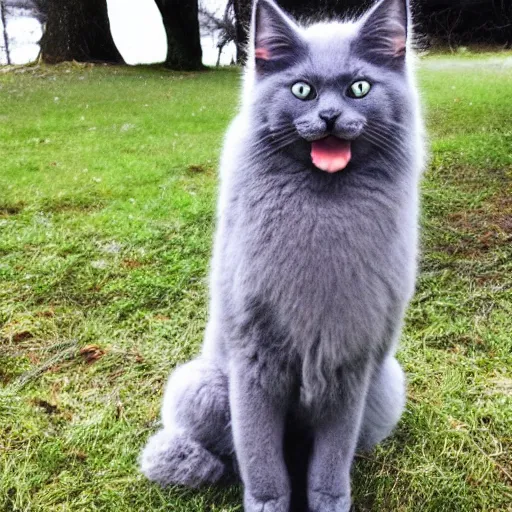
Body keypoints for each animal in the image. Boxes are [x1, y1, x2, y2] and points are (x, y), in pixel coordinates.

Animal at [140, 0, 424, 510]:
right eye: (301, 90)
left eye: (359, 88)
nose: (329, 116)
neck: (323, 209)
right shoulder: (254, 359)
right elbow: (260, 459)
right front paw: (268, 501)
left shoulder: (350, 362)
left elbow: (331, 460)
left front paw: (329, 500)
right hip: (202, 386)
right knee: (221, 452)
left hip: (386, 386)